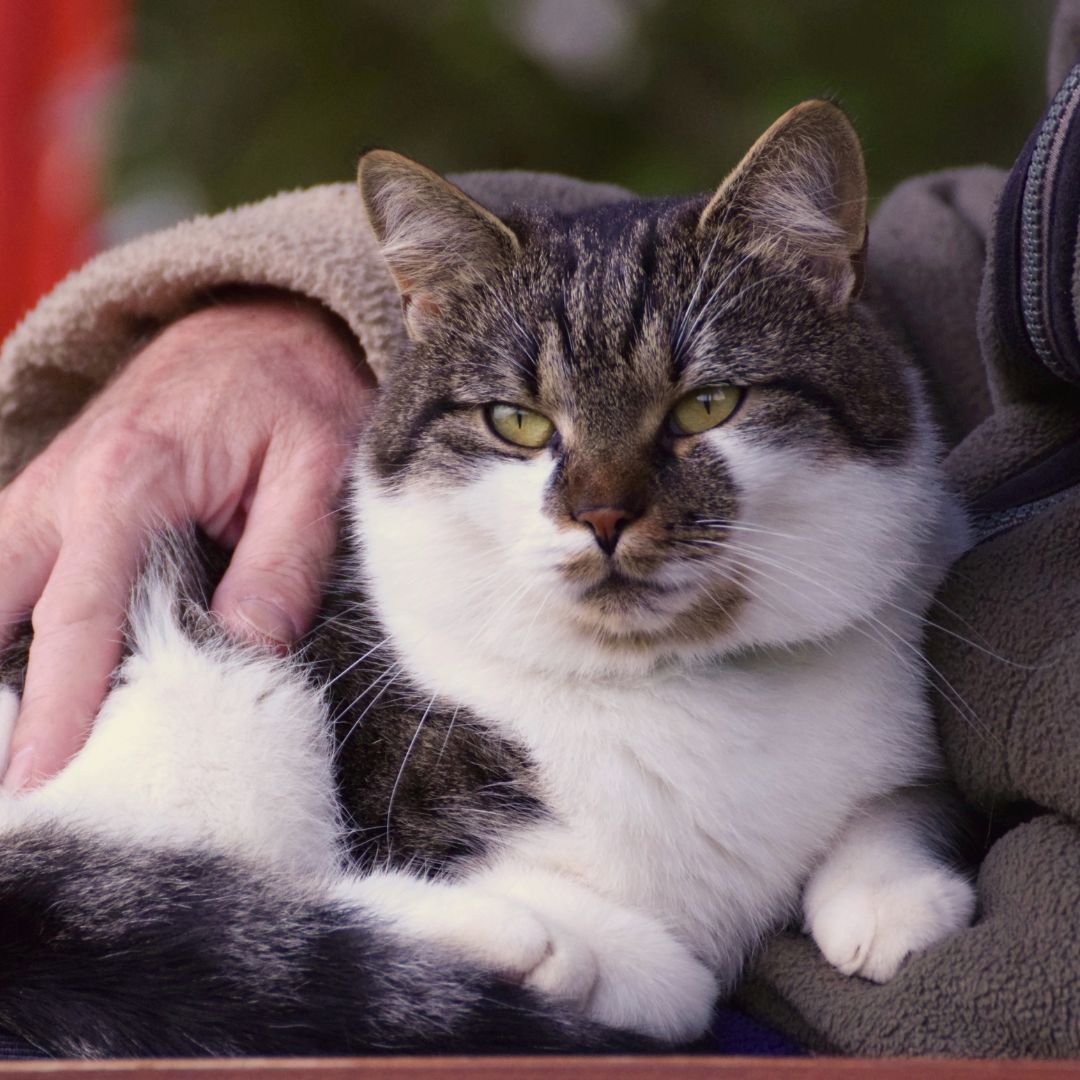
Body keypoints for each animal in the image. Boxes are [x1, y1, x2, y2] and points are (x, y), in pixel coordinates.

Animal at [0, 101, 980, 1054]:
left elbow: (899, 799)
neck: (673, 685)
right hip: (222, 688)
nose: (604, 515)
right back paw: (510, 942)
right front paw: (608, 956)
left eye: (708, 404)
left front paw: (889, 896)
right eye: (517, 421)